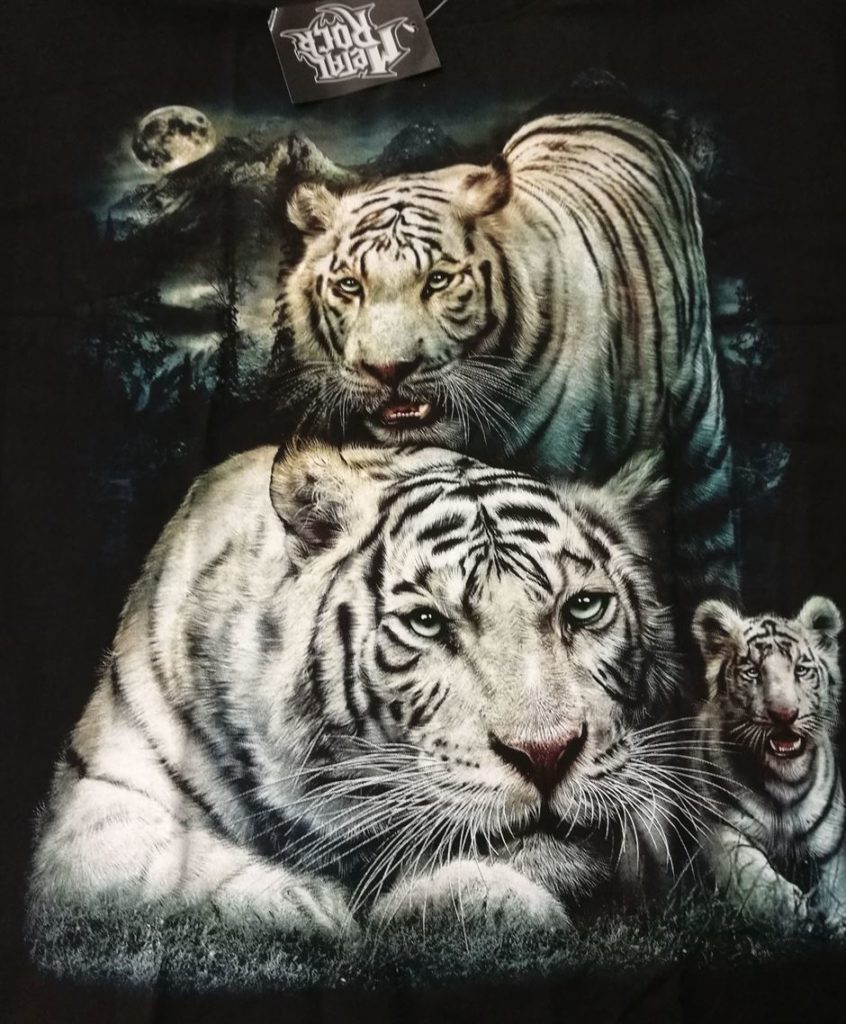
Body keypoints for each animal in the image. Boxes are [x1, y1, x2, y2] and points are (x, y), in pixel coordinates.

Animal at [28, 441, 696, 941]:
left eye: (583, 607)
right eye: (426, 621)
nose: (547, 754)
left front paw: (475, 898)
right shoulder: (96, 805)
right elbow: (171, 870)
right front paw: (310, 908)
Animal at [692, 597, 846, 929]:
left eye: (801, 670)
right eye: (752, 671)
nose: (784, 715)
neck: (784, 783)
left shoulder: (833, 845)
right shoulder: (720, 831)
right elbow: (750, 878)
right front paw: (791, 909)